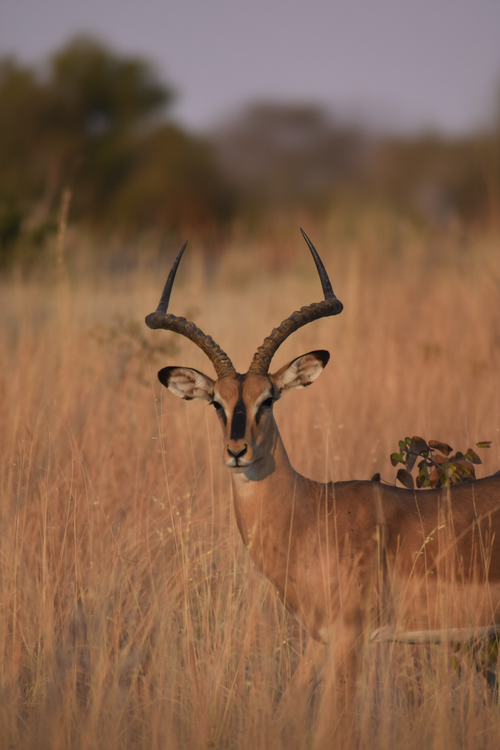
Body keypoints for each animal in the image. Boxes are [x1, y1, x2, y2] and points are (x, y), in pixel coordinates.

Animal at [146, 230, 500, 711]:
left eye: (269, 398)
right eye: (217, 402)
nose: (237, 451)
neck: (311, 512)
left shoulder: (352, 638)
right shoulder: (320, 640)